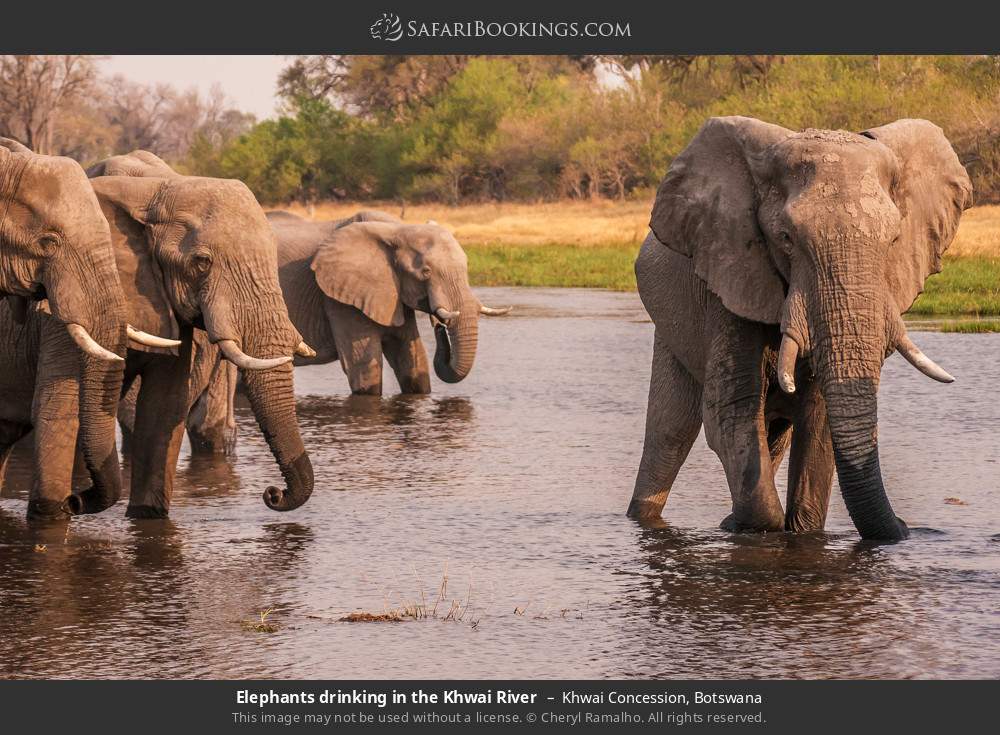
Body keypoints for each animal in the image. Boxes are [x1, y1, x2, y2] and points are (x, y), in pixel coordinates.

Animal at [628, 115, 972, 540]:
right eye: (786, 239)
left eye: (894, 239)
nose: (907, 527)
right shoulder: (729, 275)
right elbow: (731, 409)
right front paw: (760, 530)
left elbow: (817, 420)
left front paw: (799, 533)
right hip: (671, 327)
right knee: (671, 430)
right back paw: (646, 518)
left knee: (773, 433)